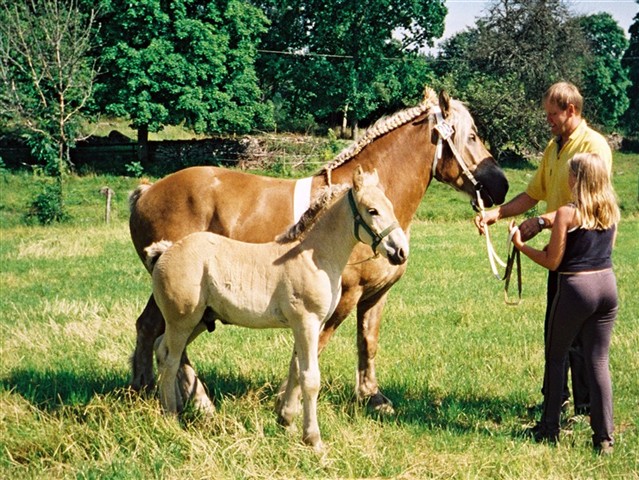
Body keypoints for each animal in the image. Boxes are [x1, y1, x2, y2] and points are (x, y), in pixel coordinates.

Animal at [130, 89, 510, 412]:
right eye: (472, 136)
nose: (501, 186)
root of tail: (146, 192)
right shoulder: (343, 296)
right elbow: (316, 345)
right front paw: (289, 399)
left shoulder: (376, 294)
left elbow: (368, 340)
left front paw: (373, 397)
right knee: (170, 338)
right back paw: (198, 401)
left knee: (151, 329)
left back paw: (145, 389)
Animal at [147, 166, 408, 450]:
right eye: (372, 210)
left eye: (390, 205)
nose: (401, 252)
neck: (312, 256)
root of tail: (167, 251)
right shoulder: (306, 321)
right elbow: (310, 378)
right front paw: (314, 439)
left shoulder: (307, 325)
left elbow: (295, 369)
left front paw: (287, 422)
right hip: (181, 321)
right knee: (171, 360)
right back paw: (172, 418)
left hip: (198, 321)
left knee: (161, 349)